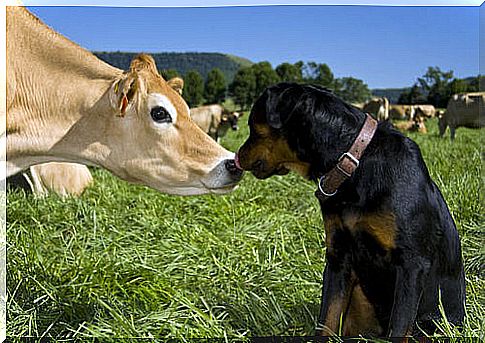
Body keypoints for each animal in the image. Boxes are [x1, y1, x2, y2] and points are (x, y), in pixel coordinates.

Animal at [234, 83, 466, 338]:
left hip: (432, 321)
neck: (354, 164)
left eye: (252, 126)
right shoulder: (339, 257)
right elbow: (326, 319)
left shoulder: (411, 264)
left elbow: (399, 326)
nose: (236, 156)